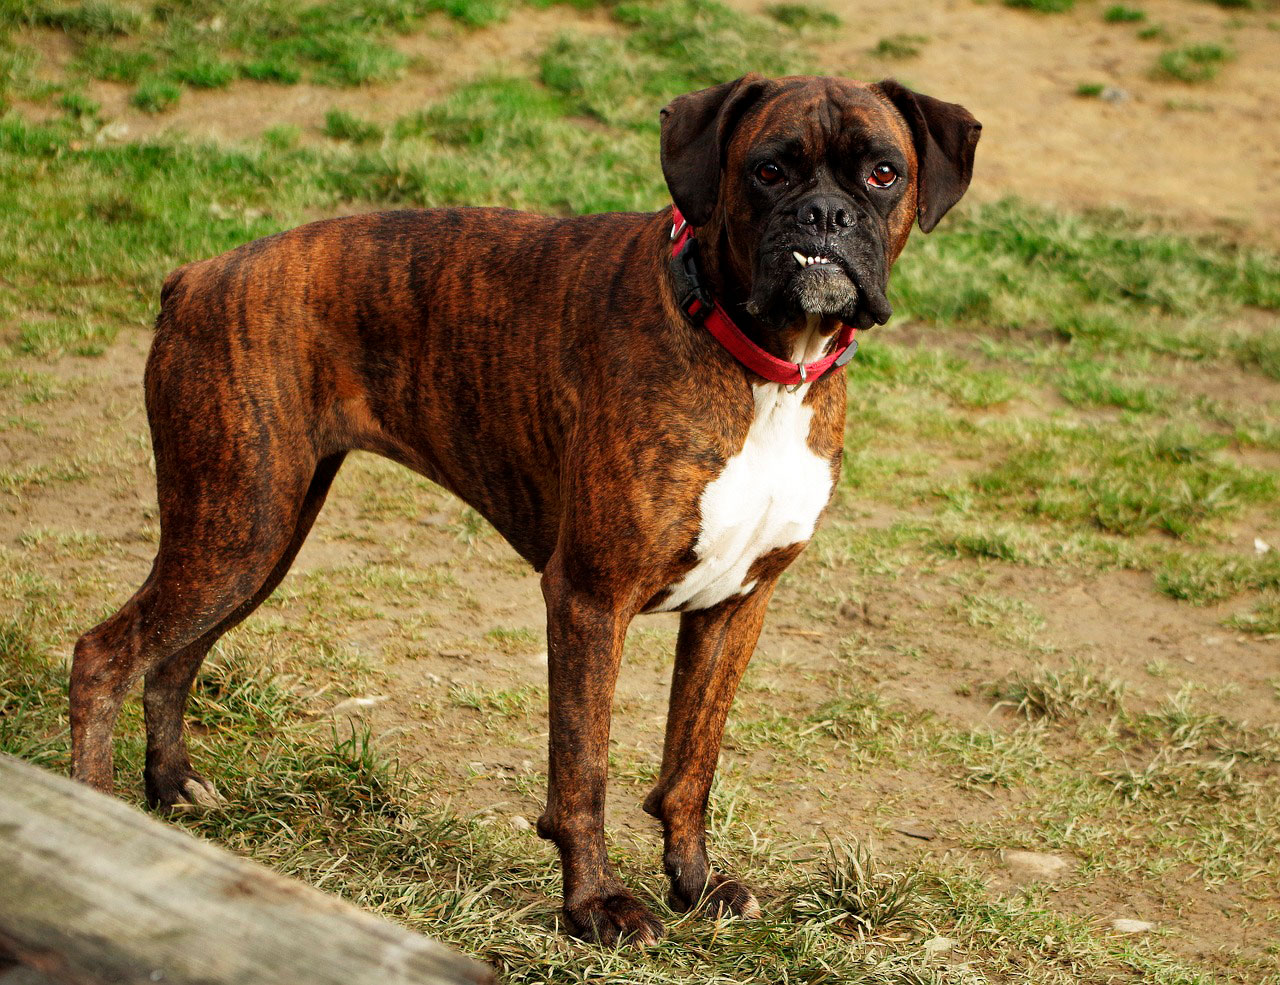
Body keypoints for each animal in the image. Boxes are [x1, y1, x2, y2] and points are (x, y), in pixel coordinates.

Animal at [70, 72, 977, 941]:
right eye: (769, 170)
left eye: (883, 173)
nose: (825, 214)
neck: (759, 362)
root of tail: (196, 275)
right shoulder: (589, 600)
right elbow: (583, 770)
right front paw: (595, 906)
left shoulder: (735, 606)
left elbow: (693, 762)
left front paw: (694, 884)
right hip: (234, 526)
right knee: (105, 654)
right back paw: (96, 818)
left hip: (256, 538)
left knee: (174, 656)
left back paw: (171, 787)